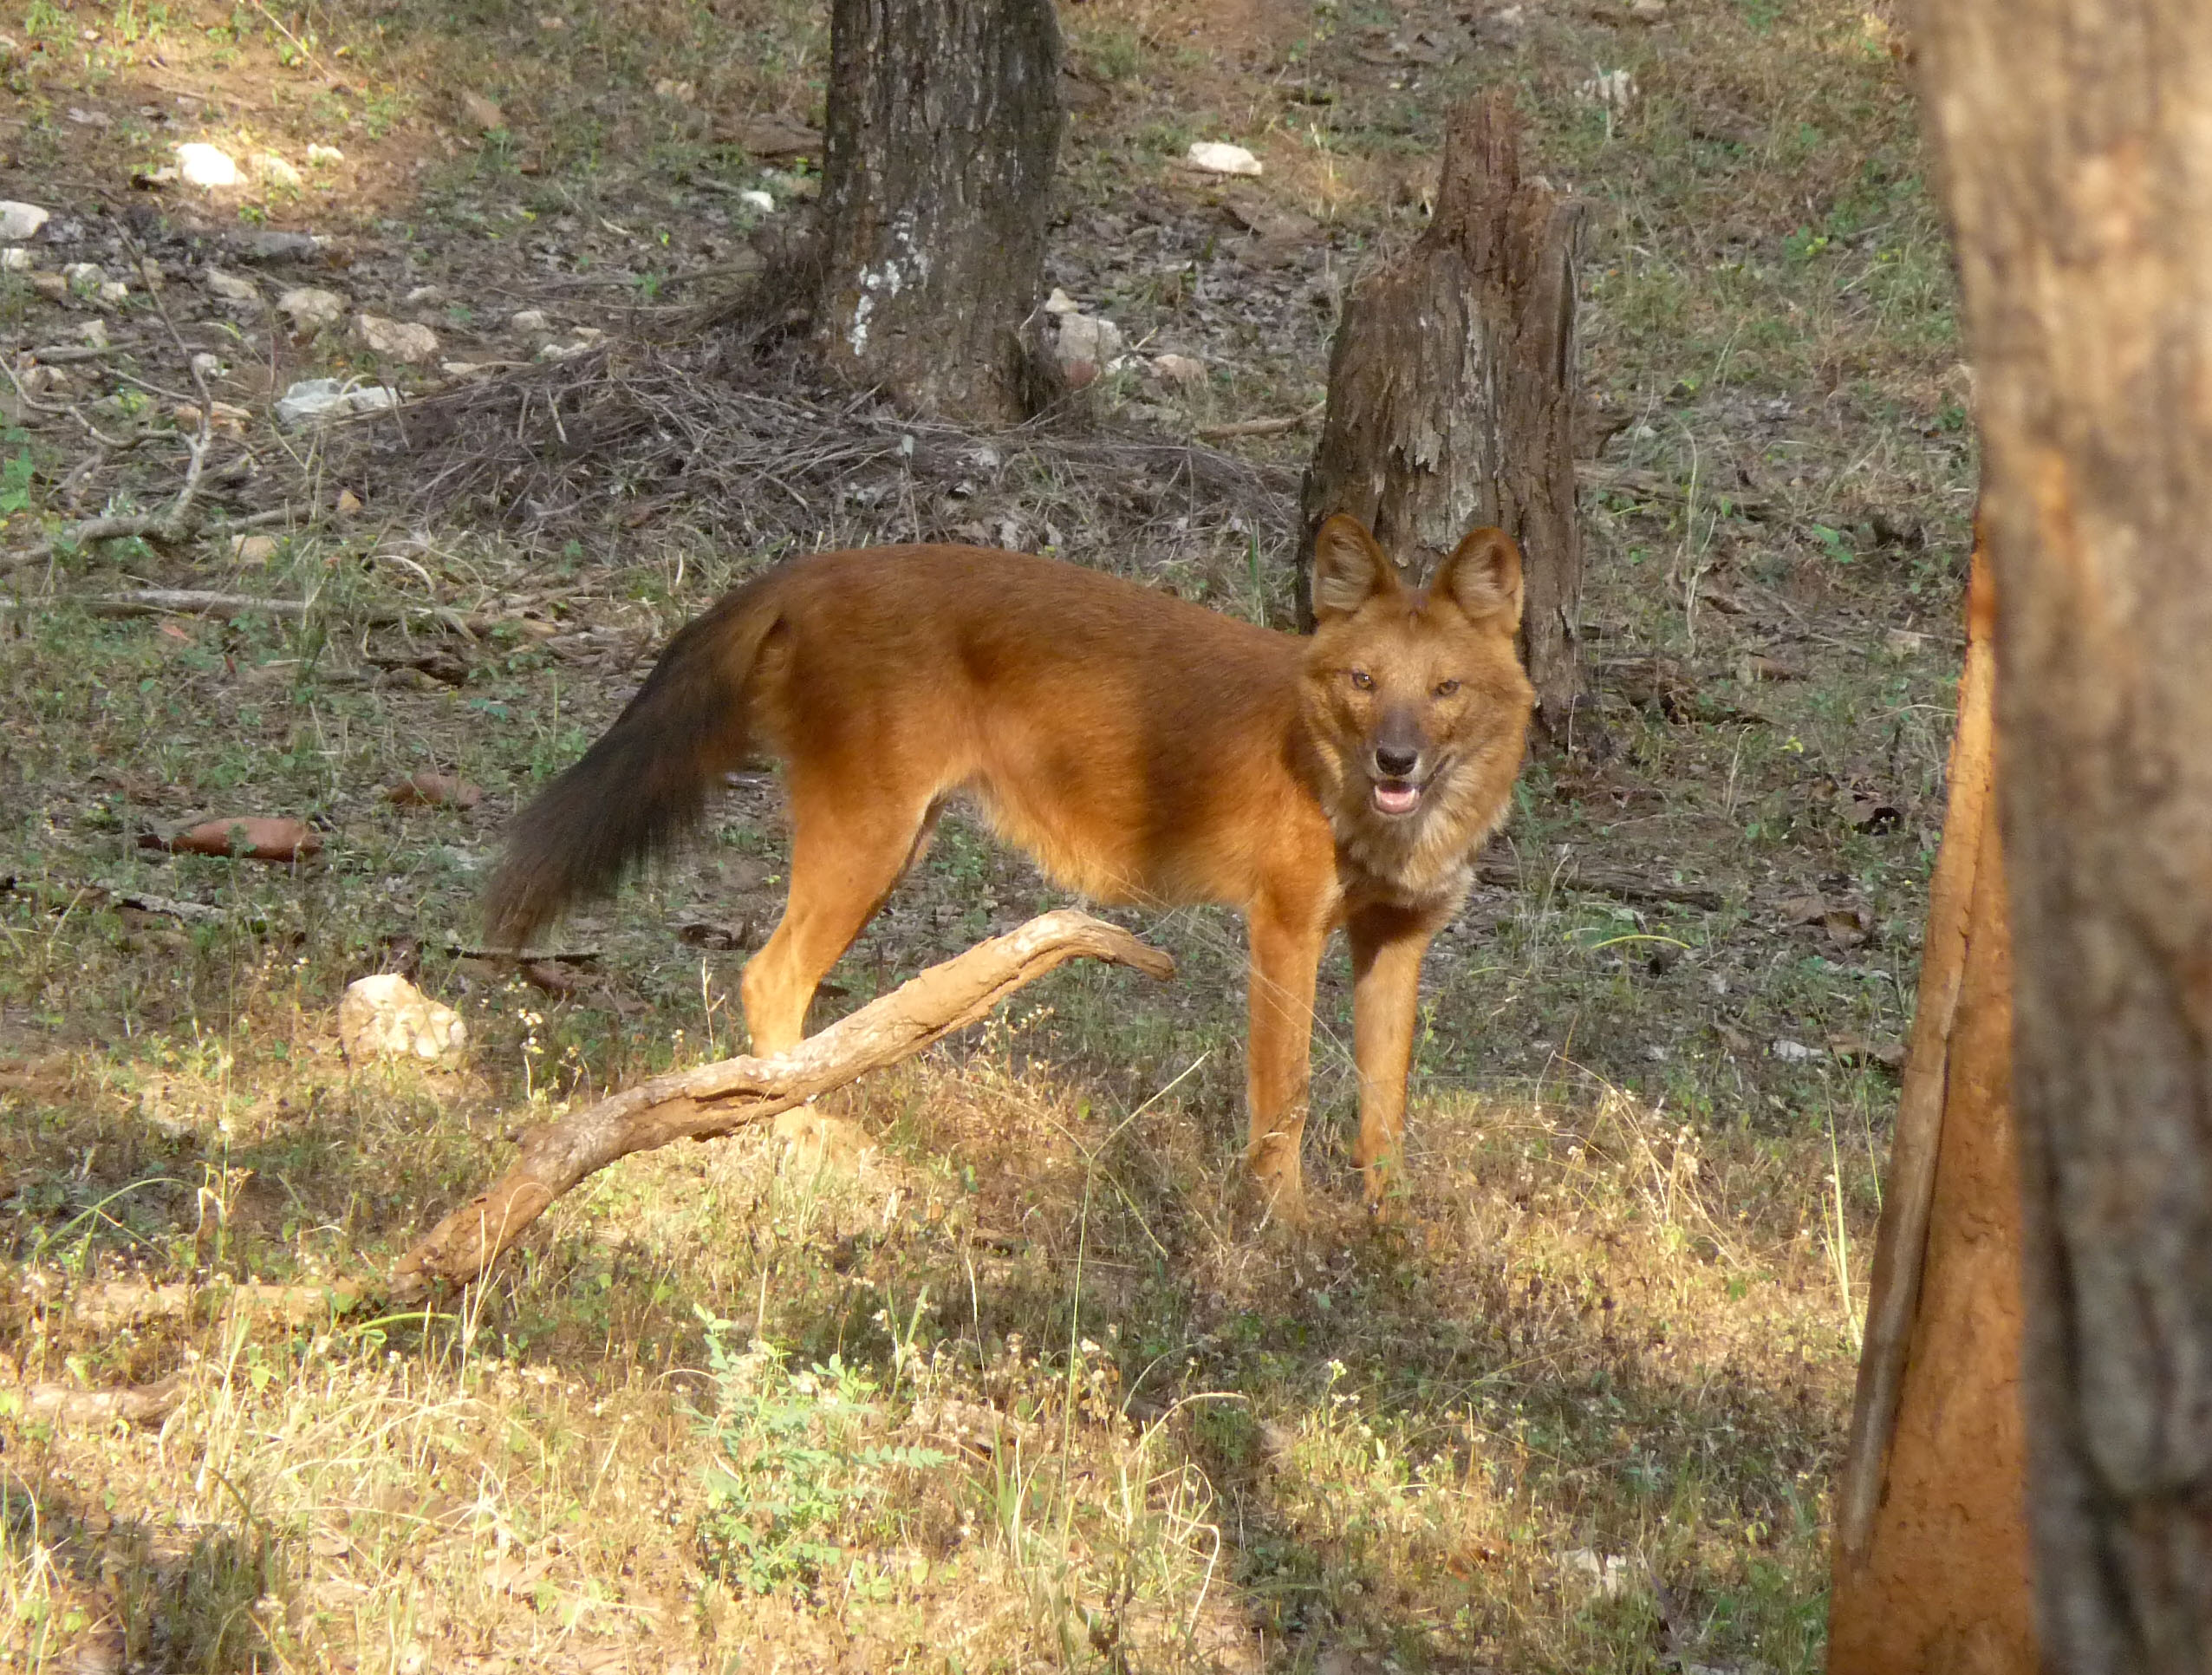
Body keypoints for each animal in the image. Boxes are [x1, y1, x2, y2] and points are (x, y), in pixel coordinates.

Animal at [491, 515, 1530, 1212]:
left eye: (1444, 690)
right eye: (1363, 683)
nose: (1394, 760)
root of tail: (818, 566)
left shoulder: (1395, 941)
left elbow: (1385, 1111)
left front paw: (1392, 1240)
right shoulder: (1282, 929)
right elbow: (1287, 1100)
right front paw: (1286, 1234)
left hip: (896, 840)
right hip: (870, 840)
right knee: (766, 975)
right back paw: (794, 1135)